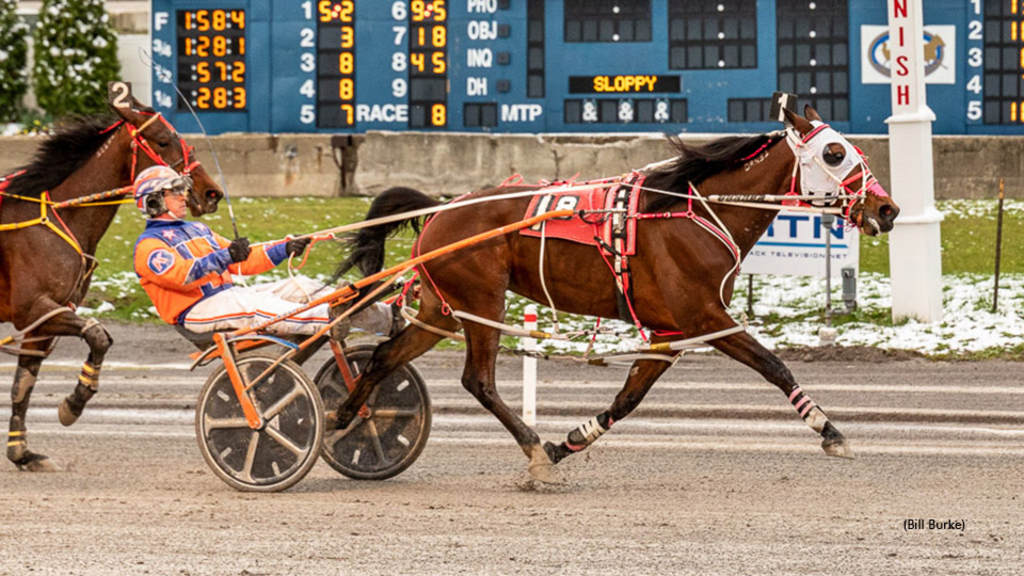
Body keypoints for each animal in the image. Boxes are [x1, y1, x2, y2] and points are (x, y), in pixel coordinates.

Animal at [0, 94, 224, 469]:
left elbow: (22, 386)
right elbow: (99, 335)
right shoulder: (32, 308)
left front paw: (22, 452)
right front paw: (74, 403)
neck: (59, 217)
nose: (212, 192)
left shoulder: (42, 320)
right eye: (163, 140)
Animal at [333, 104, 897, 479]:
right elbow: (774, 366)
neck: (689, 212)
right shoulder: (707, 317)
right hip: (481, 303)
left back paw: (349, 414)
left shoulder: (670, 332)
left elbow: (629, 397)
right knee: (478, 380)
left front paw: (570, 441)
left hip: (444, 309)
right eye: (834, 152)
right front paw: (830, 431)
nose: (887, 208)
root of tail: (444, 206)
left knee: (384, 356)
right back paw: (529, 445)